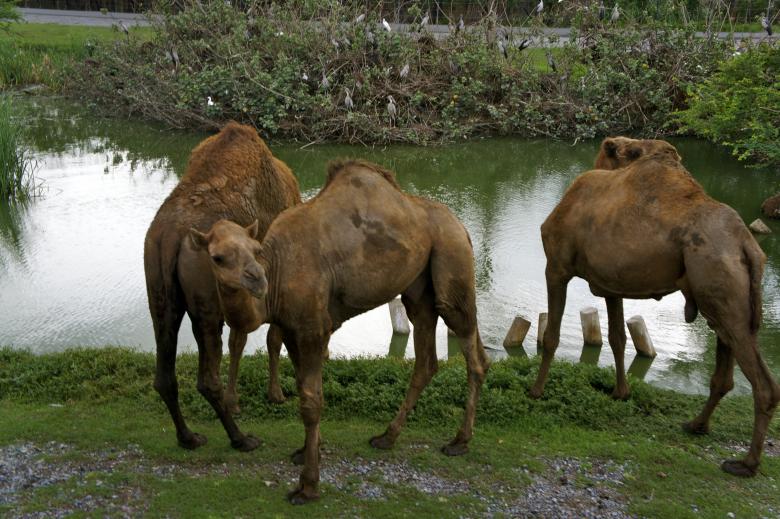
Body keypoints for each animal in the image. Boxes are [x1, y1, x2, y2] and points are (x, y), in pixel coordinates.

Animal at [144, 122, 301, 452]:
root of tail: (172, 236)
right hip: (207, 307)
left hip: (159, 294)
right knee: (206, 379)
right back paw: (240, 438)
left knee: (164, 375)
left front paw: (238, 400)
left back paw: (188, 436)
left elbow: (240, 343)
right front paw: (275, 394)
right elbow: (271, 338)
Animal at [190, 159, 489, 504]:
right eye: (217, 257)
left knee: (473, 355)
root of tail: (462, 227)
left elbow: (311, 402)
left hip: (451, 264)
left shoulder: (313, 328)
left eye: (255, 250)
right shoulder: (293, 329)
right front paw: (307, 451)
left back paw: (459, 442)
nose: (256, 279)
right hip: (418, 291)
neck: (279, 271)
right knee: (428, 360)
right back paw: (387, 436)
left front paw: (308, 485)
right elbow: (305, 391)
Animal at [530, 136, 778, 477]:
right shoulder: (611, 283)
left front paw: (535, 391)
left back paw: (746, 463)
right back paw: (697, 425)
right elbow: (617, 338)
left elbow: (551, 337)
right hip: (726, 302)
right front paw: (621, 392)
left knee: (763, 384)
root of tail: (748, 245)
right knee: (725, 374)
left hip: (722, 291)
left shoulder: (556, 265)